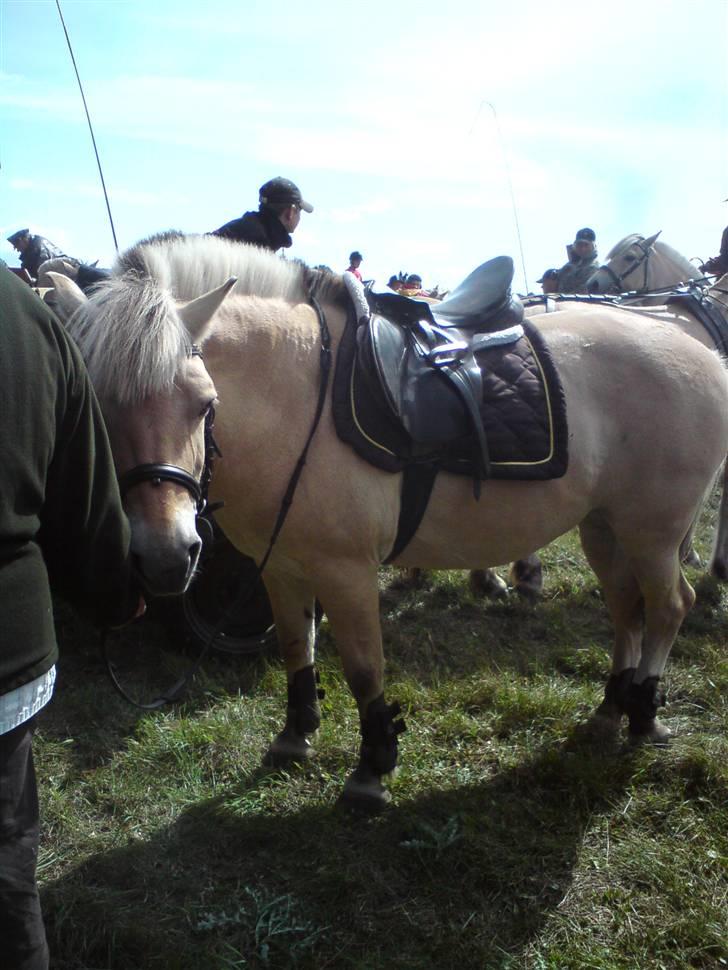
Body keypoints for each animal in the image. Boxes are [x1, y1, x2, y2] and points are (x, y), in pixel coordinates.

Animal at [54, 236, 728, 808]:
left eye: (203, 403)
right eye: (96, 410)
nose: (166, 557)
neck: (297, 397)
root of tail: (703, 353)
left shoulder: (346, 571)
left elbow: (362, 667)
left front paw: (372, 768)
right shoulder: (280, 568)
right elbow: (298, 649)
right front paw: (295, 736)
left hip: (654, 532)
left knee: (670, 605)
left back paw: (645, 713)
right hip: (603, 526)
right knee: (628, 609)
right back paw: (612, 709)